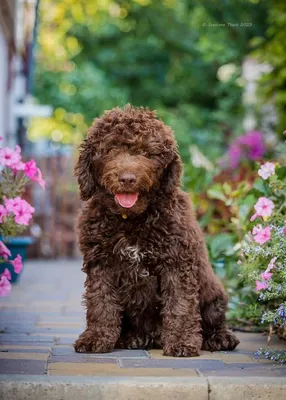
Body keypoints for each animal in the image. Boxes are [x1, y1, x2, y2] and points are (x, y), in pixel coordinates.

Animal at [73, 105, 239, 356]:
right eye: (111, 150)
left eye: (146, 152)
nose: (127, 179)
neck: (131, 220)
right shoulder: (100, 264)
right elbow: (100, 302)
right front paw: (96, 337)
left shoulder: (177, 263)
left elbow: (180, 304)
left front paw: (181, 342)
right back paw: (133, 338)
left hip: (214, 295)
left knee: (215, 320)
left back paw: (220, 338)